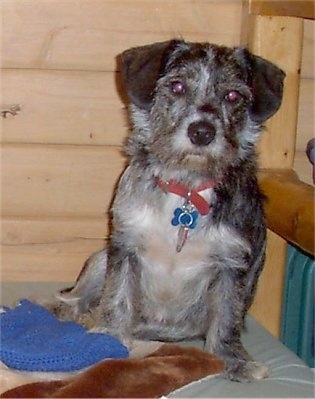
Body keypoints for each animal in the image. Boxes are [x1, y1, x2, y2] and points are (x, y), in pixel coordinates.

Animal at [45, 39, 286, 382]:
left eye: (233, 95)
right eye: (177, 86)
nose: (202, 131)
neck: (187, 191)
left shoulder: (231, 265)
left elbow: (226, 318)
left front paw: (233, 360)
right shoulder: (125, 247)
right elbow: (118, 299)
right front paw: (109, 338)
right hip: (100, 258)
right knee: (79, 296)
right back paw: (68, 309)